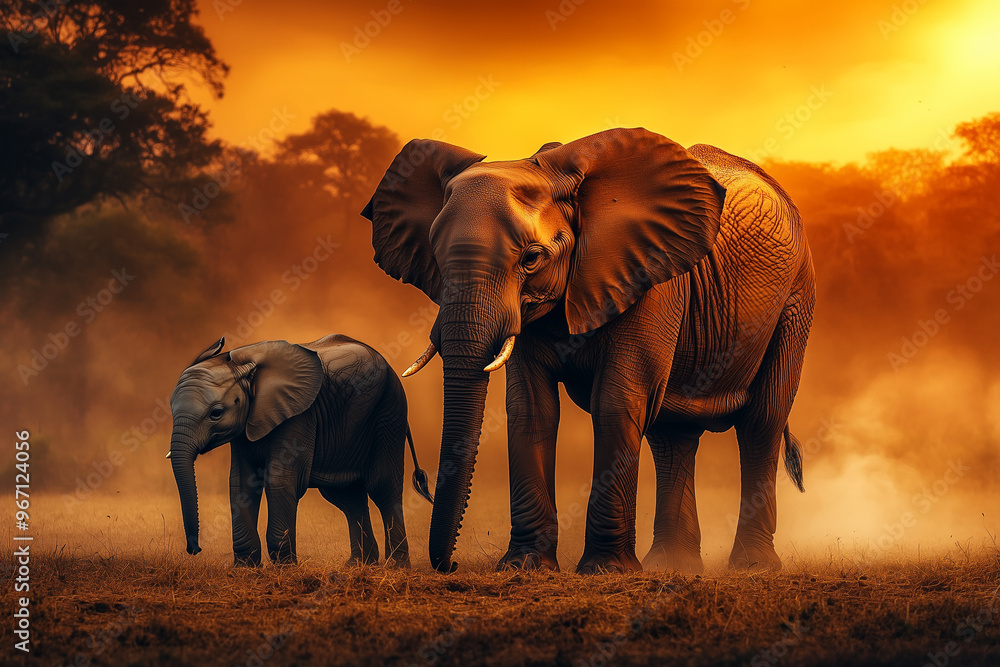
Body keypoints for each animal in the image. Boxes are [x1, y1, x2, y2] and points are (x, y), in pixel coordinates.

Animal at [168, 334, 434, 567]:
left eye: (216, 413)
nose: (195, 549)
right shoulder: (246, 428)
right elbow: (241, 483)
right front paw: (245, 568)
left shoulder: (300, 415)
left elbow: (280, 480)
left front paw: (285, 567)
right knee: (347, 497)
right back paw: (359, 565)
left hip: (389, 411)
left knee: (382, 486)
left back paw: (396, 567)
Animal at [361, 127, 814, 574]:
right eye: (436, 256)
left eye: (531, 258)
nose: (450, 565)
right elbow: (531, 408)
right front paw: (525, 566)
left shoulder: (650, 279)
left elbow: (615, 402)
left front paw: (605, 569)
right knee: (672, 433)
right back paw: (672, 567)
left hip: (794, 302)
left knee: (761, 422)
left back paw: (752, 567)